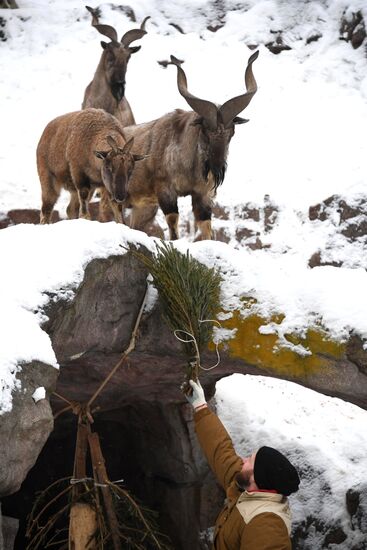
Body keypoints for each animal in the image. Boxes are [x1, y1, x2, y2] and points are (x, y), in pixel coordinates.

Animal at [121, 50, 258, 240]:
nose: (217, 167)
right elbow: (173, 225)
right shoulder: (166, 191)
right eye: (205, 130)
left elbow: (206, 227)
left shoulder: (202, 196)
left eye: (231, 131)